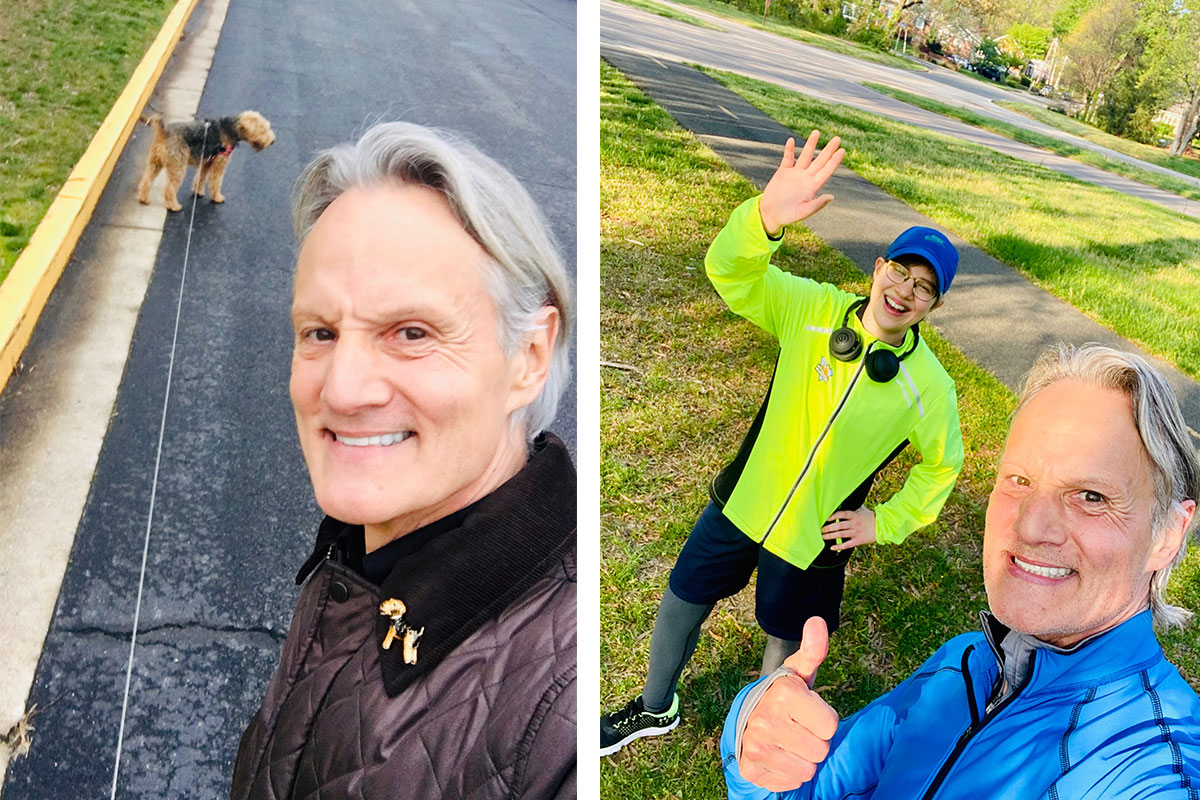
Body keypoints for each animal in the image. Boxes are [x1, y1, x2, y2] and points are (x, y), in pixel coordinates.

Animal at [137, 112, 274, 212]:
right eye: (262, 129)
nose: (273, 141)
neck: (232, 129)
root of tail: (164, 131)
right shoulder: (219, 164)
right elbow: (216, 183)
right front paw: (217, 197)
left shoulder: (206, 163)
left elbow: (200, 178)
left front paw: (198, 192)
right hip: (178, 166)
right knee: (169, 189)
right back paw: (174, 206)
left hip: (155, 163)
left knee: (146, 181)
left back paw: (143, 199)